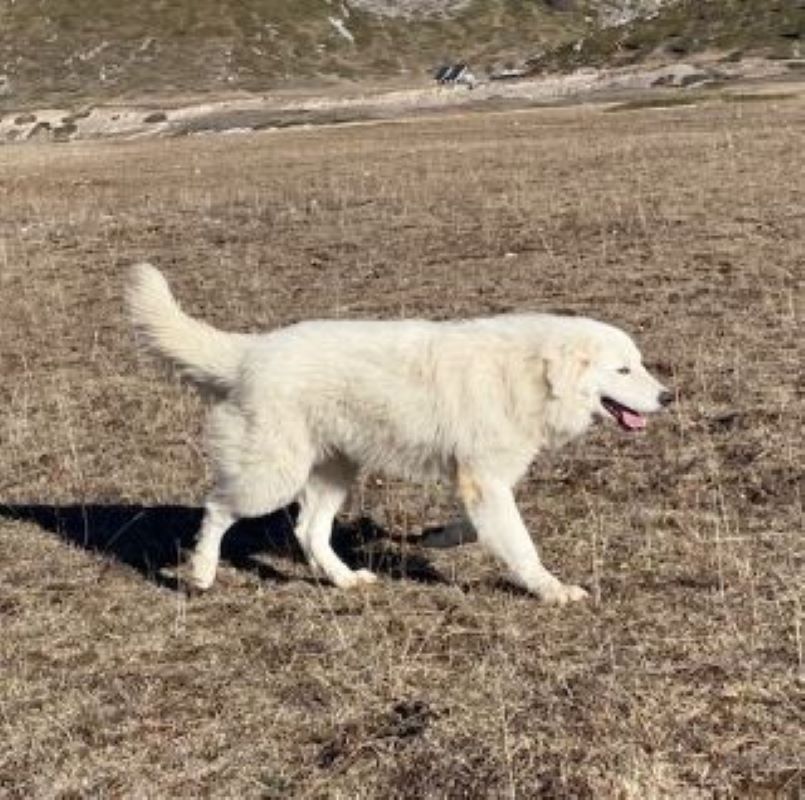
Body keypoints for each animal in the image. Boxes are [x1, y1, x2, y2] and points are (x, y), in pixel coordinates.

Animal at [127, 263, 673, 603]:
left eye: (639, 363)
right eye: (624, 370)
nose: (669, 397)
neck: (528, 375)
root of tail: (249, 351)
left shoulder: (481, 481)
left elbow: (478, 528)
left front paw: (436, 539)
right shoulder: (484, 479)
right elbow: (520, 544)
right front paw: (552, 590)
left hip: (334, 473)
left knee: (308, 531)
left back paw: (346, 581)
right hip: (271, 476)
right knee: (217, 509)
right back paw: (201, 572)